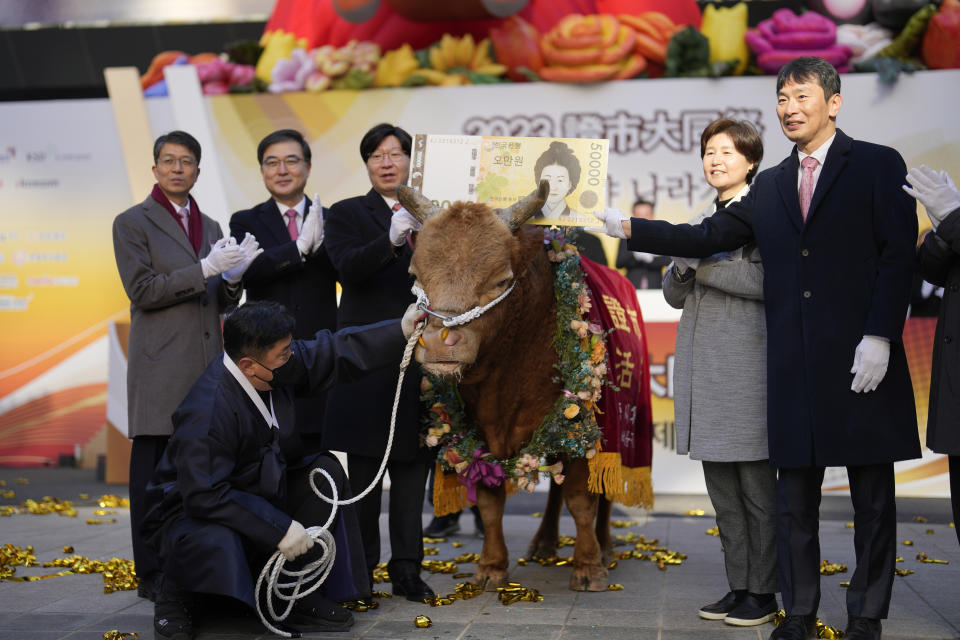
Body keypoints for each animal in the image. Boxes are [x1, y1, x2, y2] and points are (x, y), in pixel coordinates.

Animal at [400, 181, 616, 592]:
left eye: (500, 280)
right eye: (416, 275)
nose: (439, 343)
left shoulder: (580, 429)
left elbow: (582, 497)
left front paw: (589, 566)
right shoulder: (480, 433)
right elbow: (489, 502)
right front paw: (491, 566)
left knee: (603, 490)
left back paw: (605, 546)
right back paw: (545, 542)